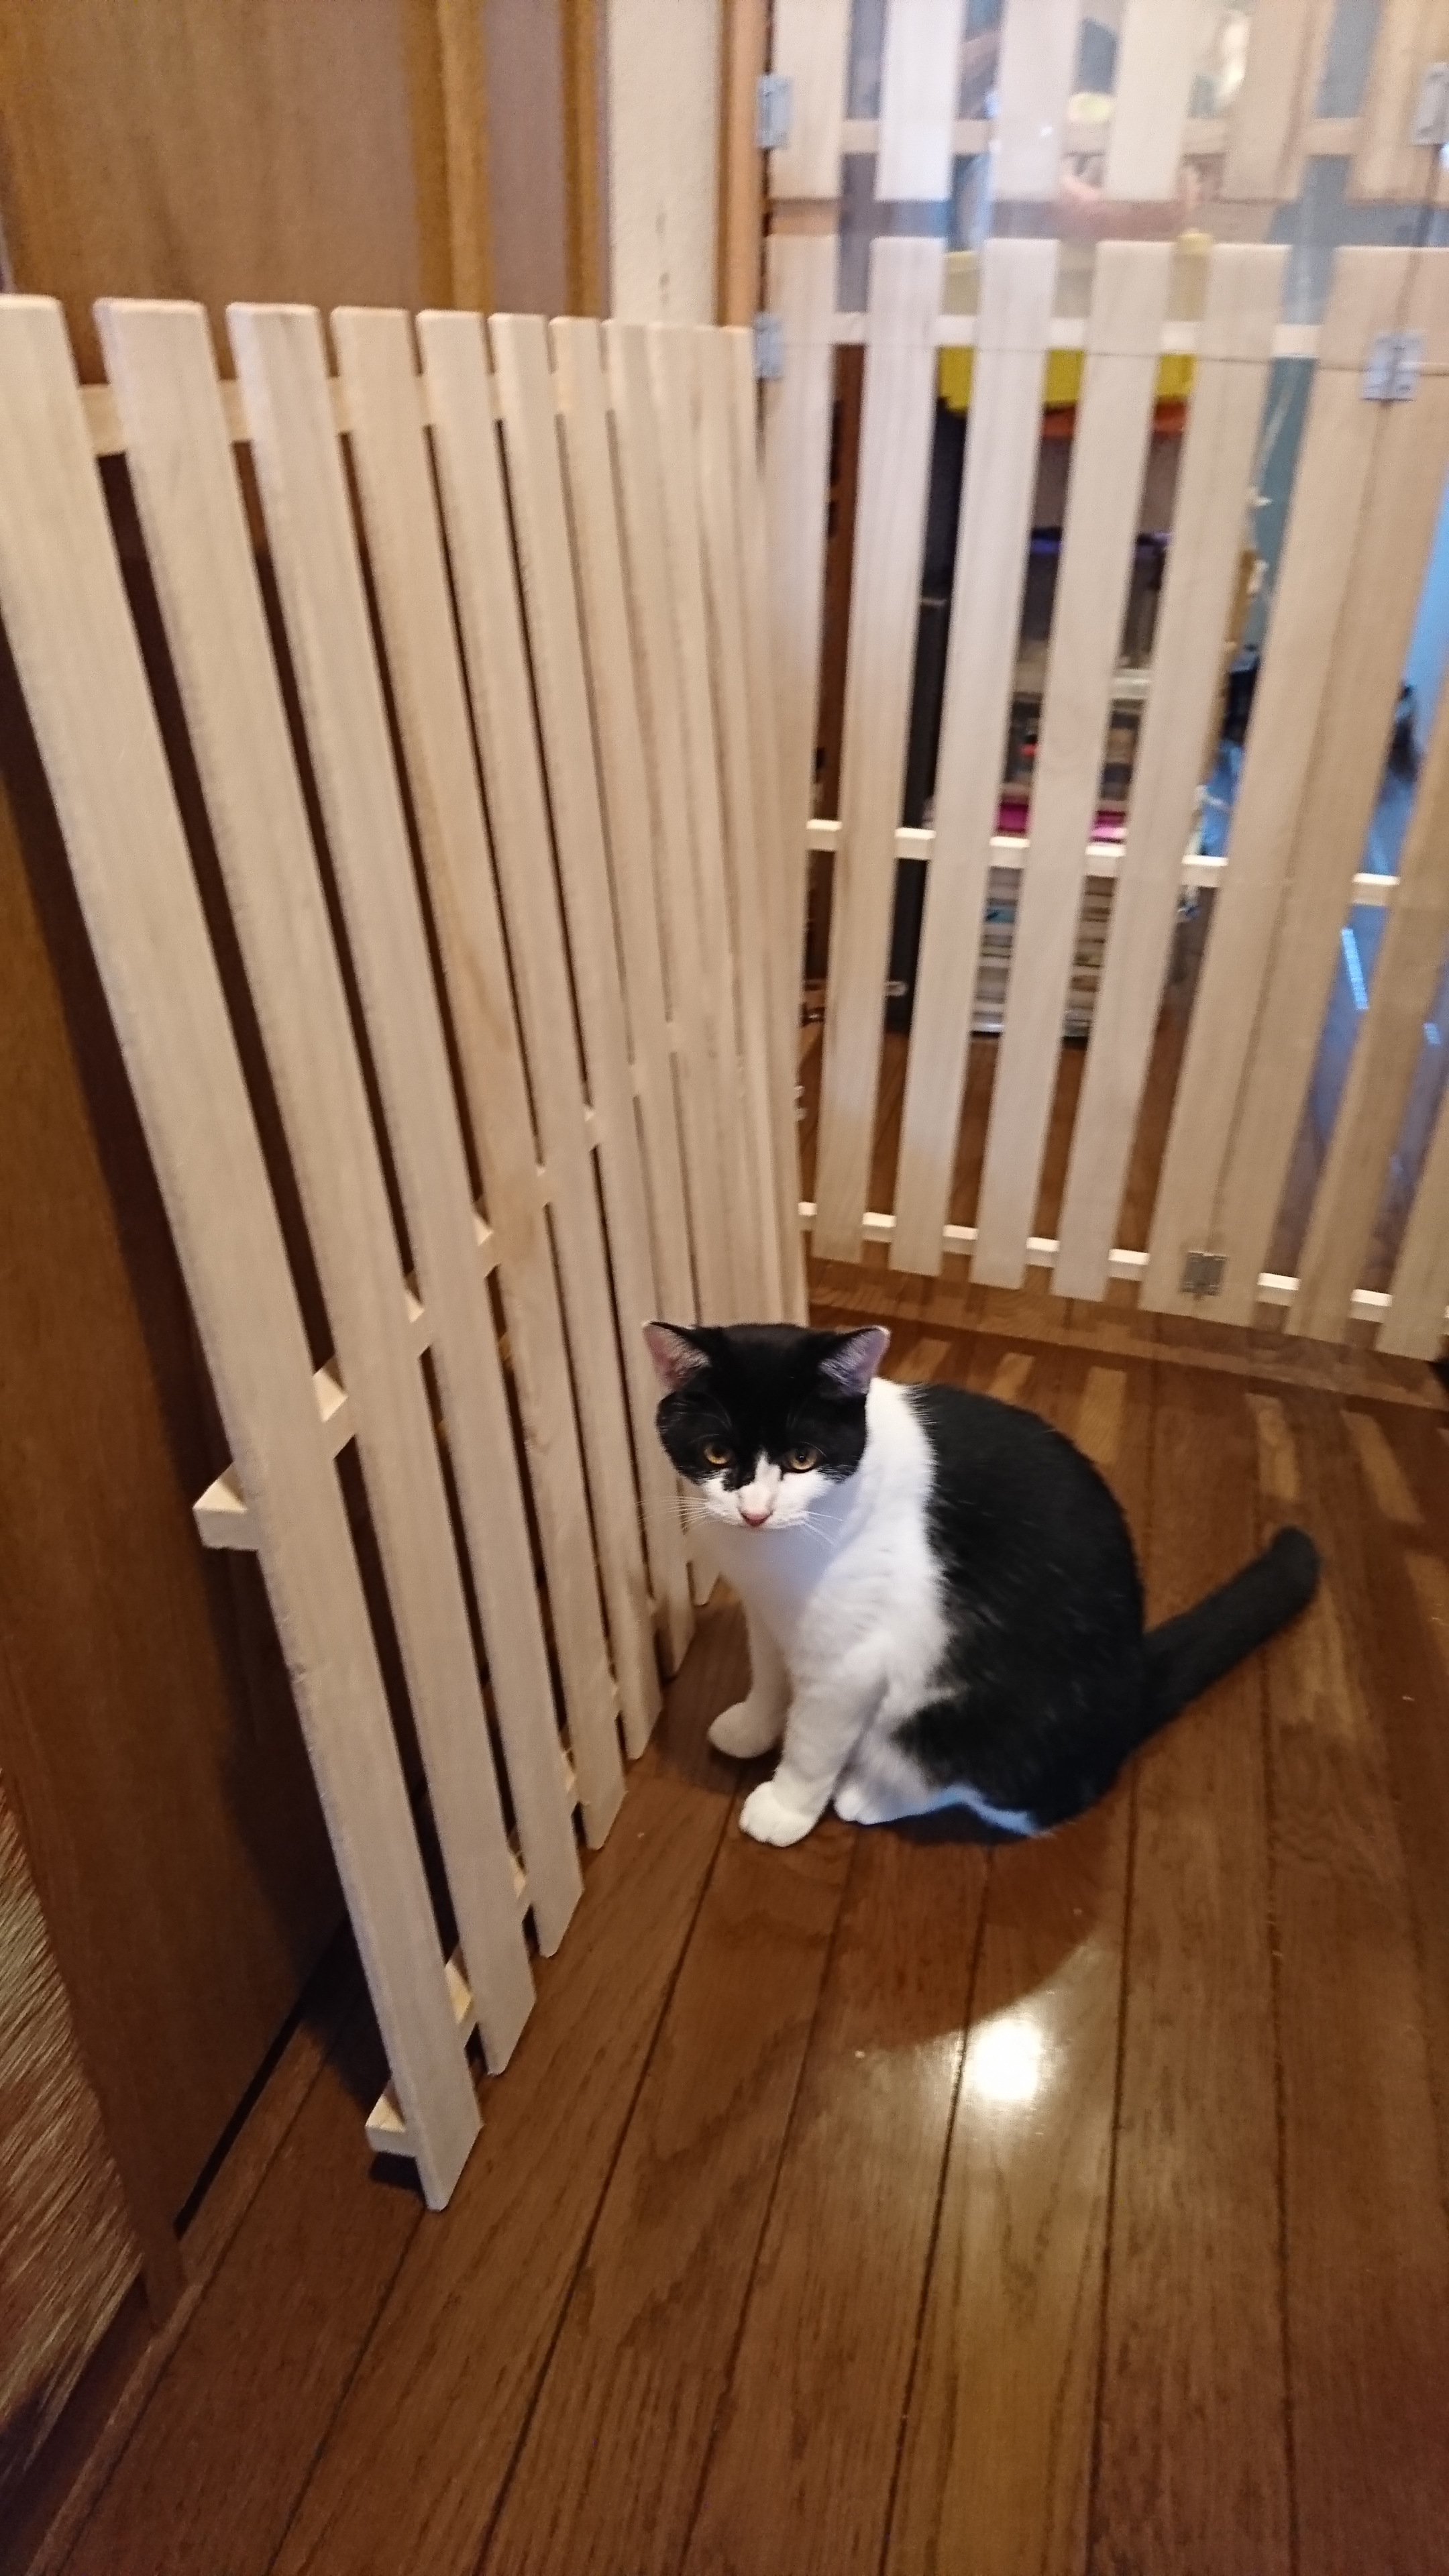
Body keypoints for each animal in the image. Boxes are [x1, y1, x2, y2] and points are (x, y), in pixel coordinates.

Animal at [644, 1319, 1319, 1849]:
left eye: (803, 1459)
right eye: (714, 1454)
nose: (755, 1512)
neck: (774, 1554)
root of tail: (1133, 1694)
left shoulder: (848, 1662)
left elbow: (813, 1740)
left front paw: (786, 1808)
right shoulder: (769, 1614)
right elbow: (769, 1676)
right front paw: (752, 1727)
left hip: (962, 1725)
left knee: (1013, 1802)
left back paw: (871, 1795)